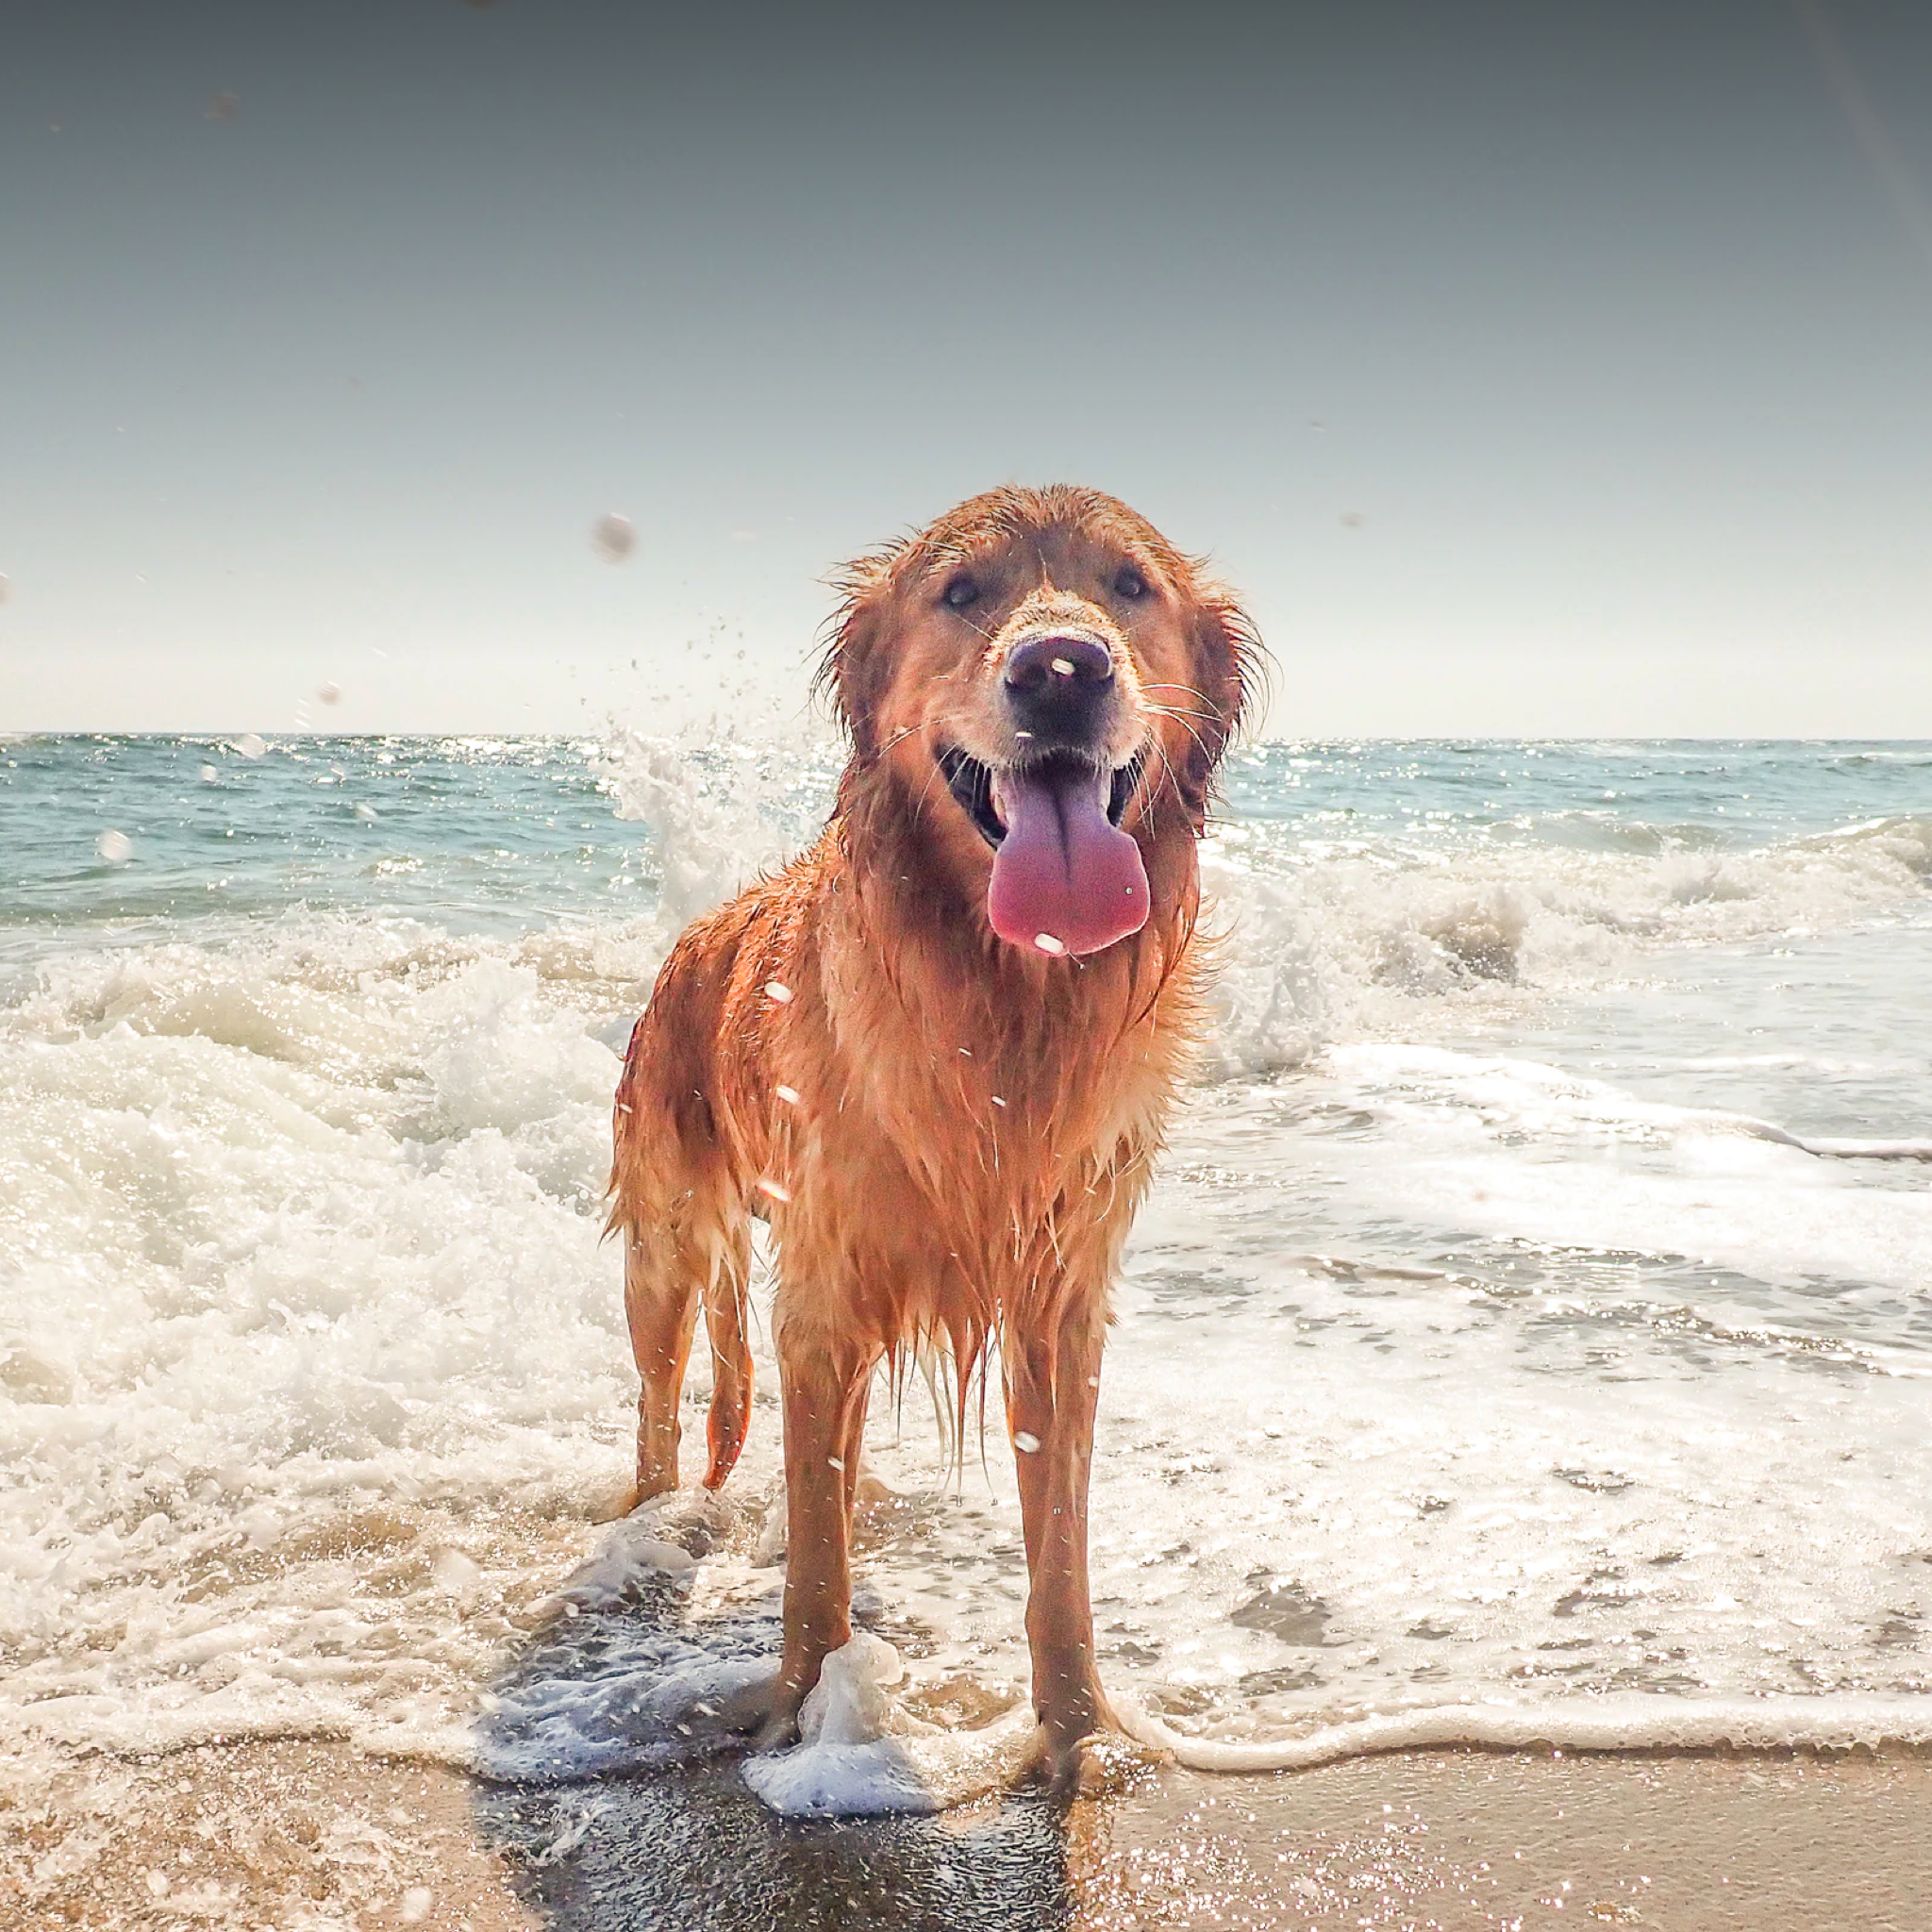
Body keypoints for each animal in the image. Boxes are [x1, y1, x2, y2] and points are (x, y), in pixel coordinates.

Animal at [610, 491, 1259, 1785]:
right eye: (961, 592)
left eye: (1129, 584)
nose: (1059, 668)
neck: (1003, 998)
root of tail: (688, 940)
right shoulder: (822, 1287)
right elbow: (816, 1564)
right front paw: (801, 1707)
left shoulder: (1059, 1296)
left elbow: (1057, 1552)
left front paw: (1076, 1727)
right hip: (664, 1241)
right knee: (660, 1402)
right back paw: (654, 1528)